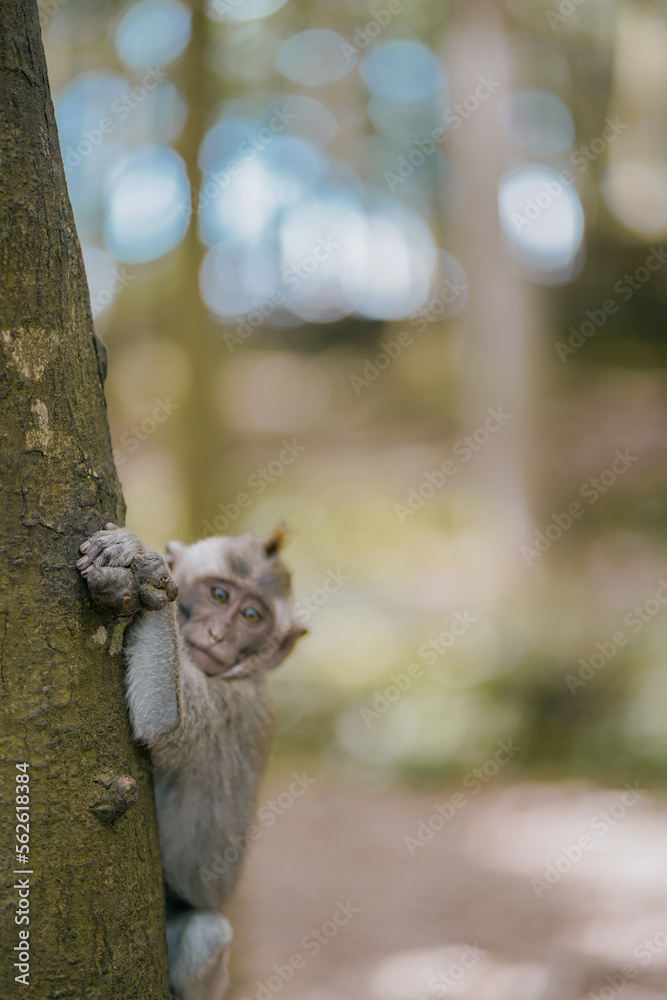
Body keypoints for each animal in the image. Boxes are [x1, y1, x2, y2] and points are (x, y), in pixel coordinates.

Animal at [76, 522, 306, 1000]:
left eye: (251, 616)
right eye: (219, 595)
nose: (218, 633)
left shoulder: (230, 705)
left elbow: (164, 720)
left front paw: (146, 566)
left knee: (209, 932)